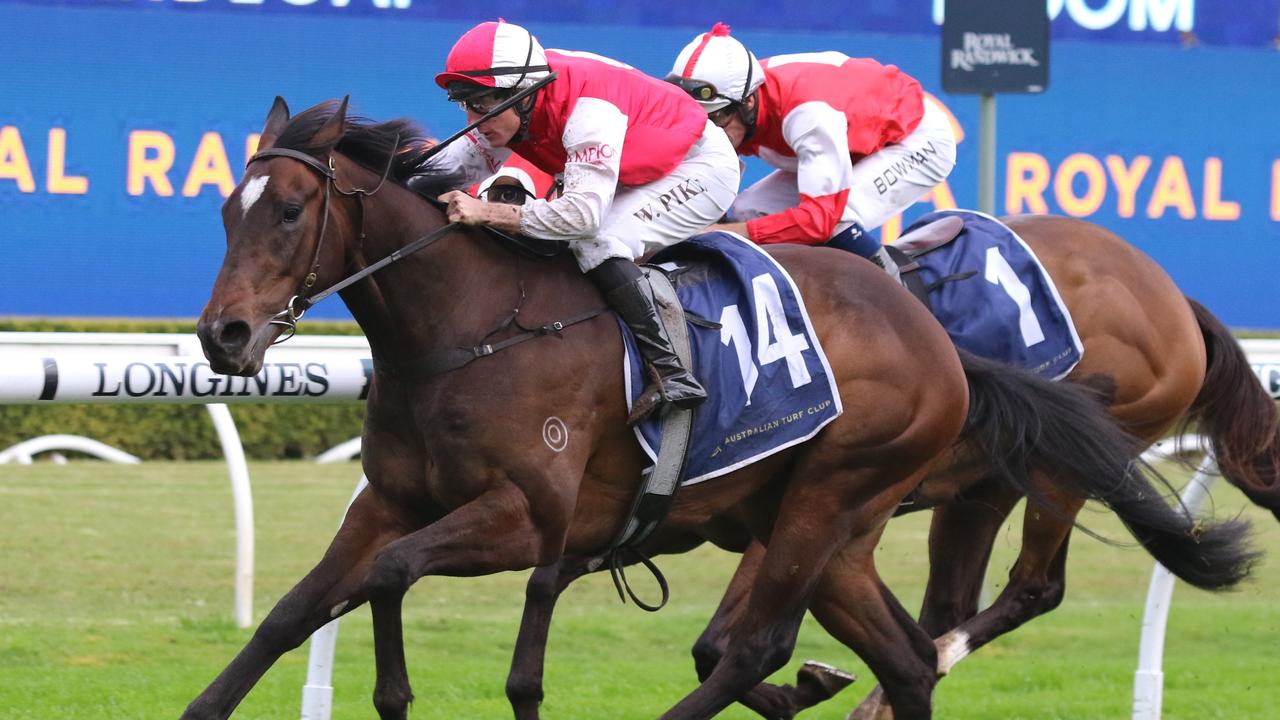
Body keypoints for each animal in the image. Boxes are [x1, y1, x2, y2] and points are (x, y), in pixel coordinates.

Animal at [185, 96, 1254, 717]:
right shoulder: (392, 499)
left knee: (773, 646)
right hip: (837, 521)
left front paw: (403, 689)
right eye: (227, 211)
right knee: (904, 657)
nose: (223, 336)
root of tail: (940, 347)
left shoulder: (527, 519)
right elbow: (297, 610)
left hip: (853, 492)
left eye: (290, 211)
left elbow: (394, 574)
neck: (472, 325)